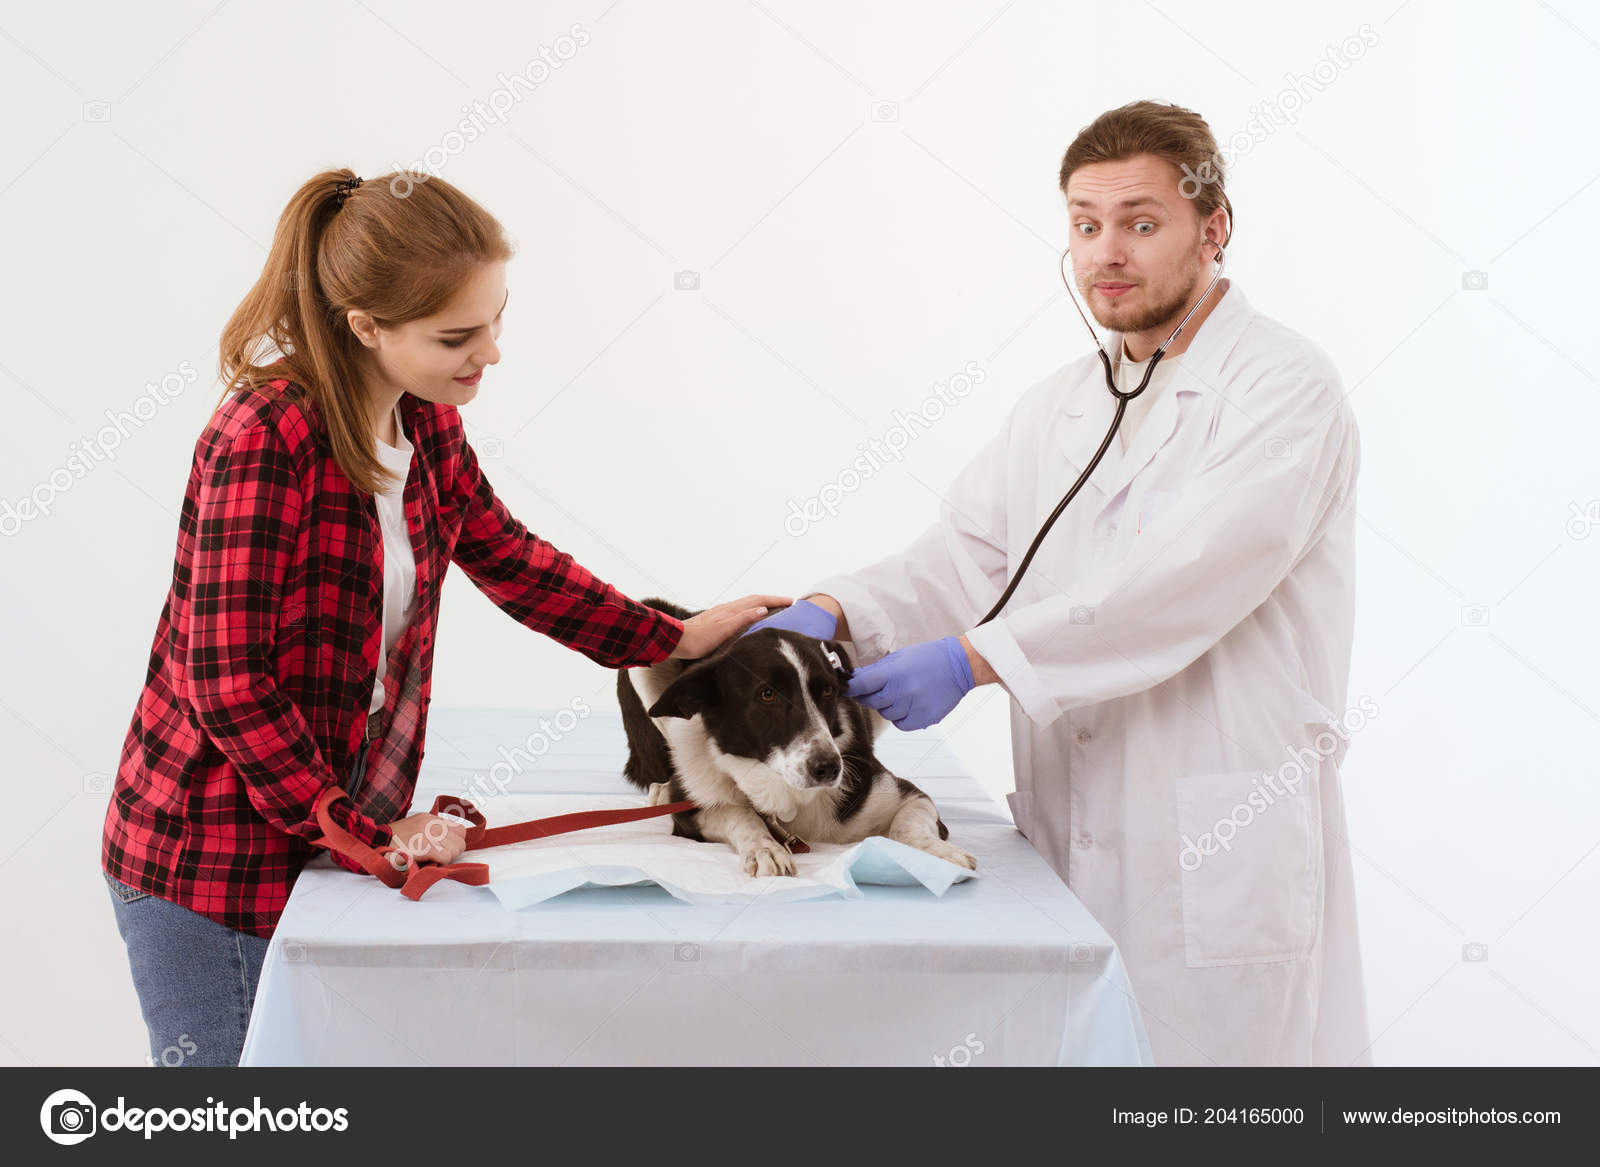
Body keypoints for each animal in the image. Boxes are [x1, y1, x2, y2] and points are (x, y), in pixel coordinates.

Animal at [617, 601, 979, 870]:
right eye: (767, 695)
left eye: (828, 691)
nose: (829, 768)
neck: (788, 794)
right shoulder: (690, 813)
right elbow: (738, 812)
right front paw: (764, 847)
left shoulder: (905, 794)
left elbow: (908, 823)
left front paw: (938, 852)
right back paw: (663, 789)